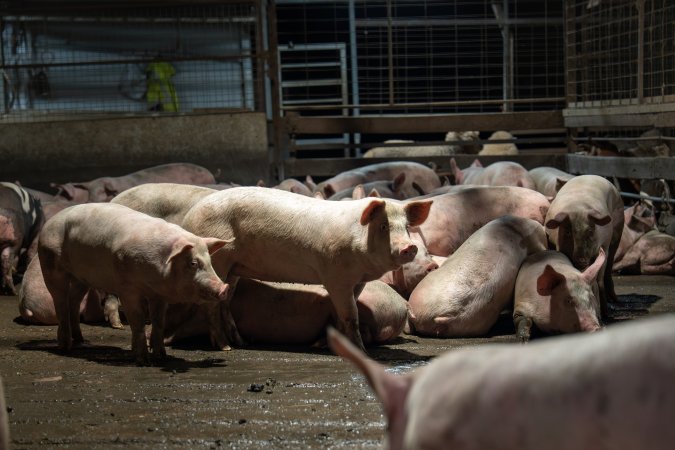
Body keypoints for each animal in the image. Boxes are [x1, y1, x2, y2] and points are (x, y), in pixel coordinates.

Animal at [38, 203, 230, 364]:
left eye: (210, 261)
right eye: (193, 263)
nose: (224, 288)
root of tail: (49, 223)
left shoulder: (159, 294)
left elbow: (158, 321)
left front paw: (161, 357)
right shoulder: (127, 289)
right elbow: (137, 320)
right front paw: (142, 361)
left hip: (81, 278)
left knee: (74, 301)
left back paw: (80, 340)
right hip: (50, 263)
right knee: (60, 301)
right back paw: (65, 347)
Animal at [544, 174, 624, 317]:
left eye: (590, 231)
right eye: (568, 232)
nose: (581, 259)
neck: (577, 207)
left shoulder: (603, 246)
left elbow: (599, 280)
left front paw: (606, 314)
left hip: (617, 233)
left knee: (609, 266)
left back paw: (615, 302)